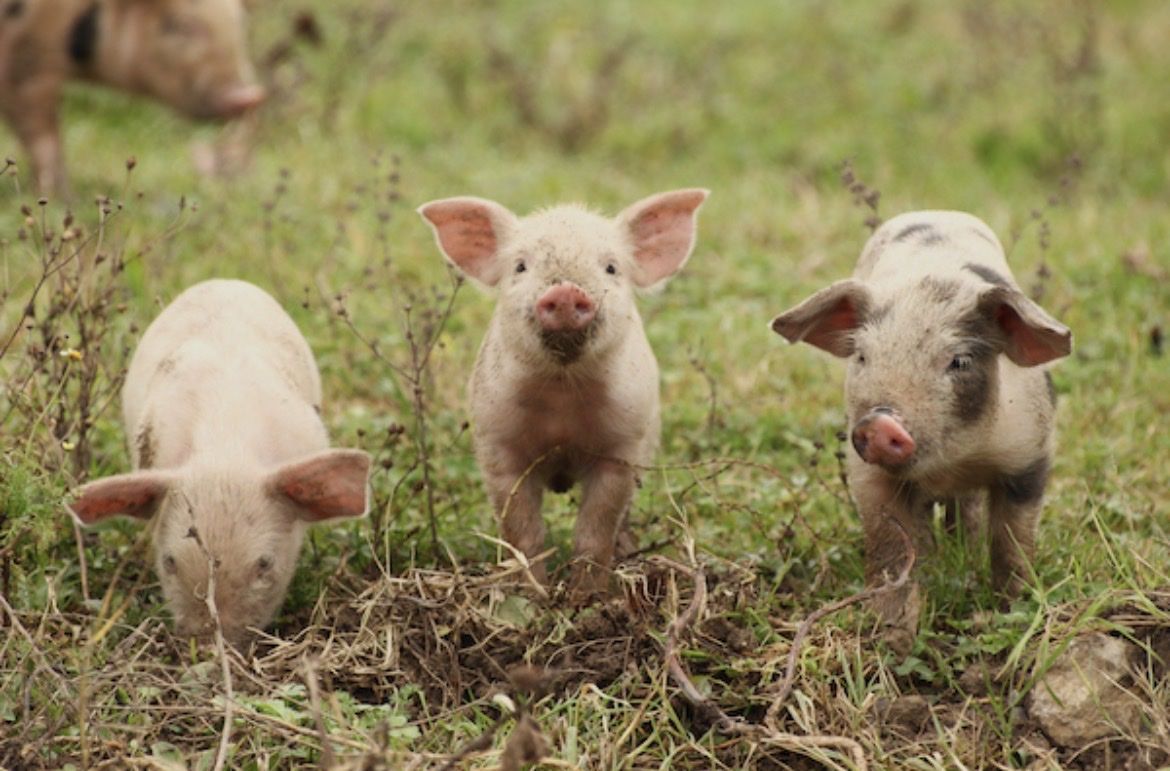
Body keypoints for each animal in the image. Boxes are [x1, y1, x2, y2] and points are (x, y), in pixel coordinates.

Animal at [0, 0, 264, 195]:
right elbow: (44, 137)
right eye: (177, 25)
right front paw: (61, 196)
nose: (249, 98)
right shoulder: (27, 59)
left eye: (241, 24)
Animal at [418, 189, 709, 599]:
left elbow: (594, 531)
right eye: (520, 266)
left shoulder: (622, 448)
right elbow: (522, 533)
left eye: (611, 268)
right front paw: (532, 596)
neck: (562, 397)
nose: (566, 291)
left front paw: (587, 599)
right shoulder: (497, 444)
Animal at [770, 211, 1072, 649]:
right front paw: (891, 637)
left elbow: (1013, 543)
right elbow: (891, 551)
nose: (880, 422)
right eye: (862, 356)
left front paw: (1013, 611)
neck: (952, 461)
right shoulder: (869, 475)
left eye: (959, 361)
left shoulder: (1030, 455)